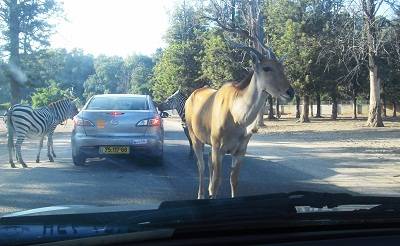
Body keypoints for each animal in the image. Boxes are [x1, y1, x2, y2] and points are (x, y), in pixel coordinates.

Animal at [184, 44, 294, 198]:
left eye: (282, 68)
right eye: (267, 68)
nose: (290, 92)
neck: (237, 117)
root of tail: (190, 97)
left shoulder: (240, 151)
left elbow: (234, 180)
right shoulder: (219, 148)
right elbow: (217, 181)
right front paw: (211, 192)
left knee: (209, 163)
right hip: (195, 137)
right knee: (201, 165)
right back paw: (201, 194)